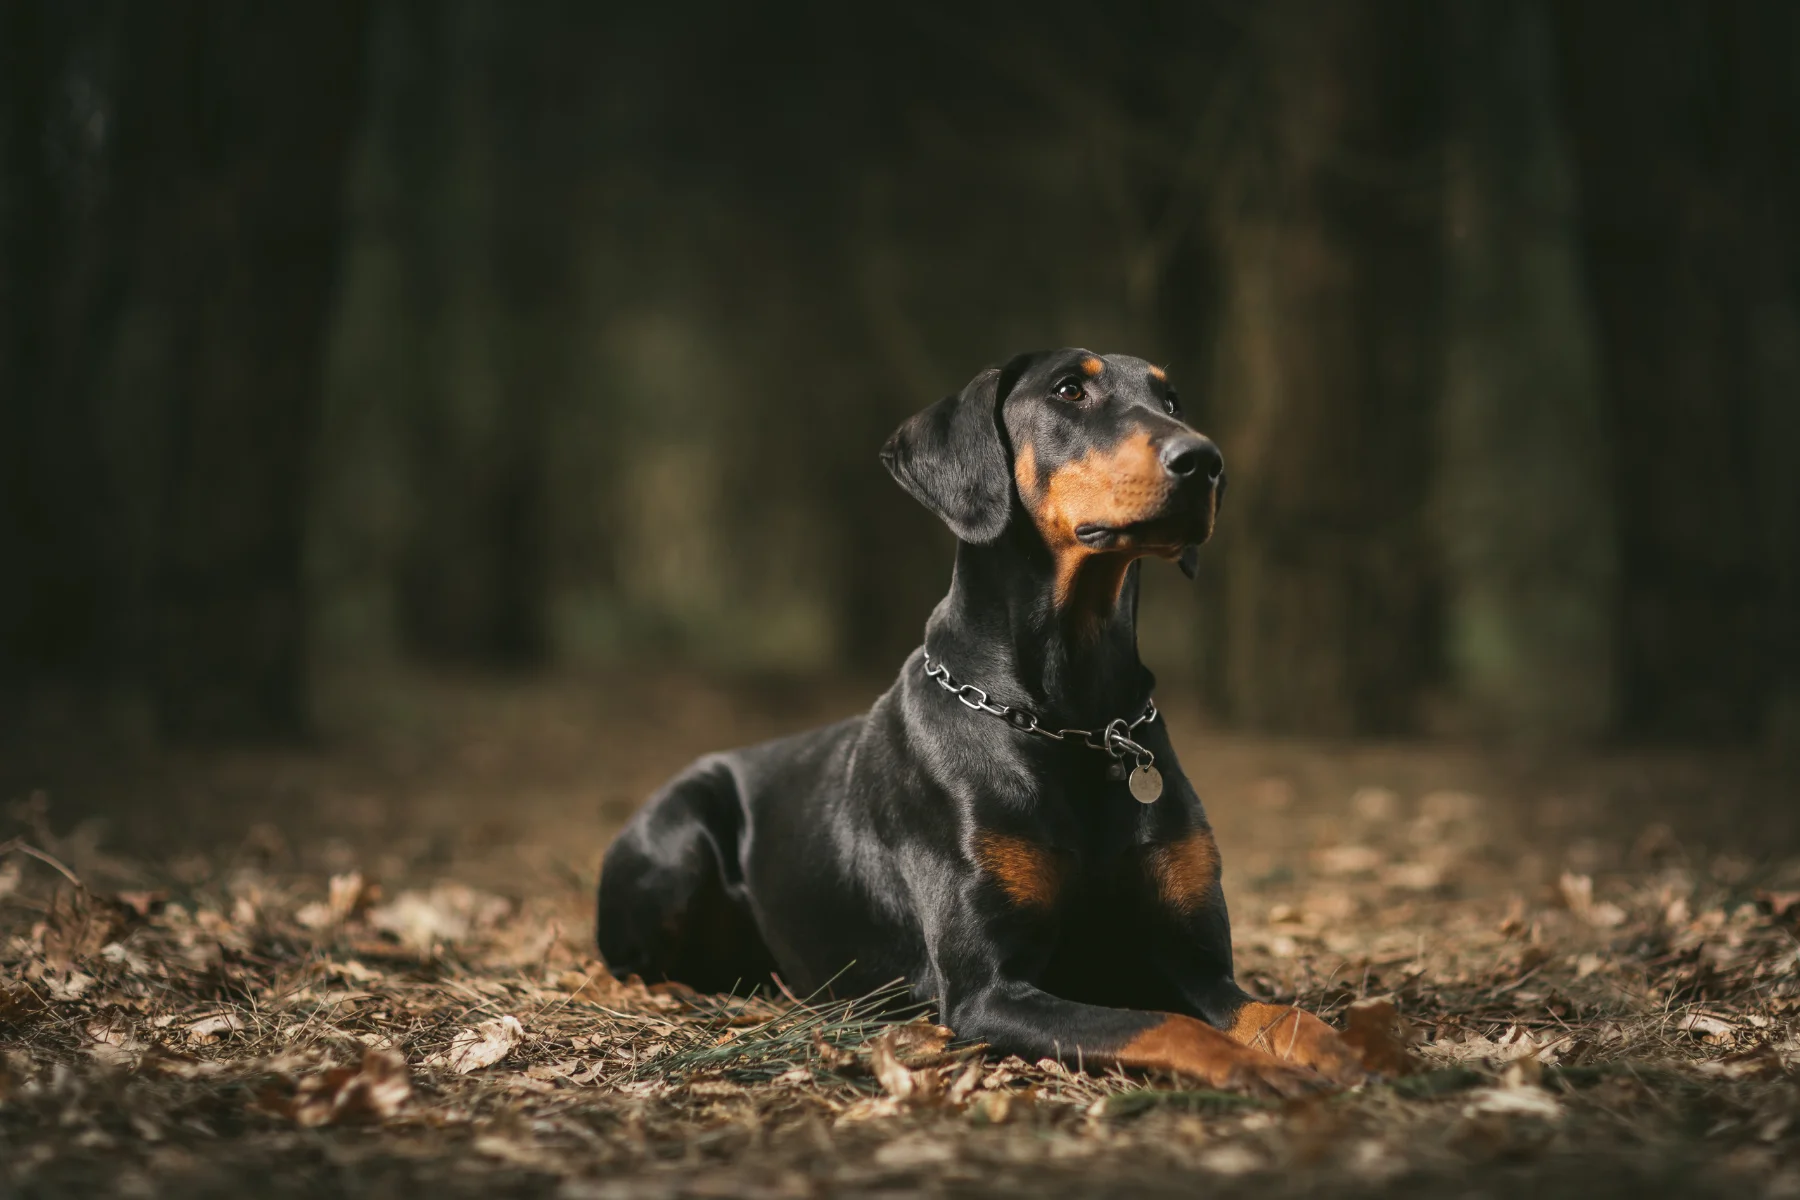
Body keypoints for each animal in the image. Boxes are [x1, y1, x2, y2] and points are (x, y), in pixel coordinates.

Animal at [597, 349, 1353, 1101]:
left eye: (1172, 401)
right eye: (1069, 390)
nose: (1204, 460)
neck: (1077, 721)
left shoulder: (1192, 960)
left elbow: (1279, 1013)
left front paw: (1348, 1052)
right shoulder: (986, 992)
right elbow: (1164, 1025)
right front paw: (1257, 1069)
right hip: (679, 831)